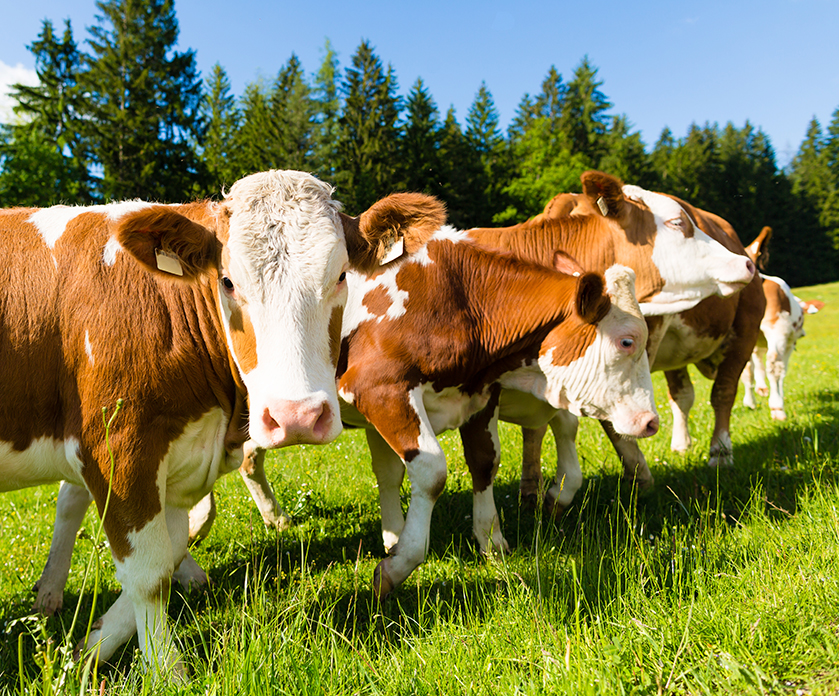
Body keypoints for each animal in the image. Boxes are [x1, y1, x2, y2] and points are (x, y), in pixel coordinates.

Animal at [0, 170, 442, 680]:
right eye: (228, 282)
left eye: (341, 275)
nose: (297, 416)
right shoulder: (118, 450)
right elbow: (147, 575)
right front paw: (165, 672)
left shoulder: (180, 460)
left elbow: (167, 554)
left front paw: (83, 653)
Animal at [740, 226, 828, 418]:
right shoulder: (788, 341)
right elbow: (781, 371)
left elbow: (755, 365)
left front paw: (759, 390)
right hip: (777, 330)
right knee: (775, 365)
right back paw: (777, 407)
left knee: (747, 367)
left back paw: (751, 402)